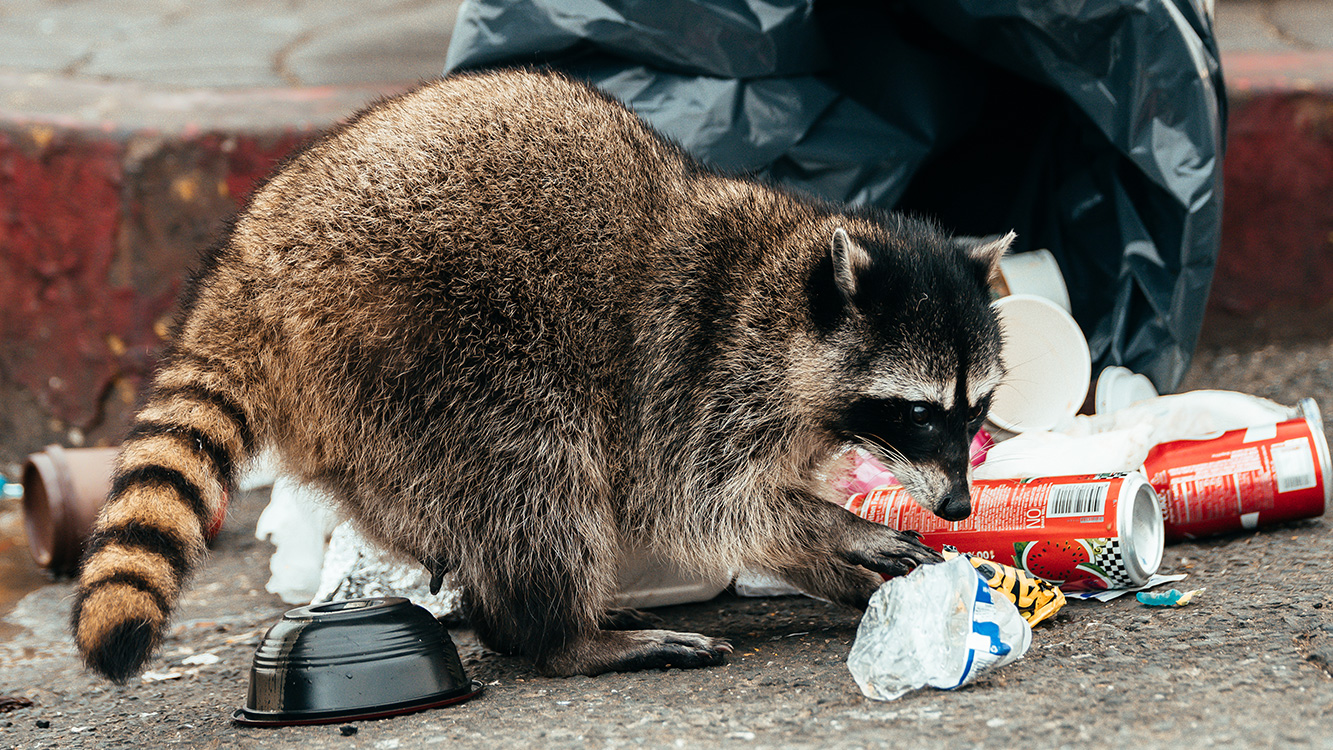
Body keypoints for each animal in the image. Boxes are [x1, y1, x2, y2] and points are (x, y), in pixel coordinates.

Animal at [71, 68, 1012, 682]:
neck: (783, 283)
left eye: (976, 412)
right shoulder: (695, 372)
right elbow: (703, 502)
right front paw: (836, 529)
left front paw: (837, 564)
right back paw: (559, 636)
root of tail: (252, 265)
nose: (960, 505)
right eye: (918, 413)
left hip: (363, 413)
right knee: (532, 477)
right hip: (429, 351)